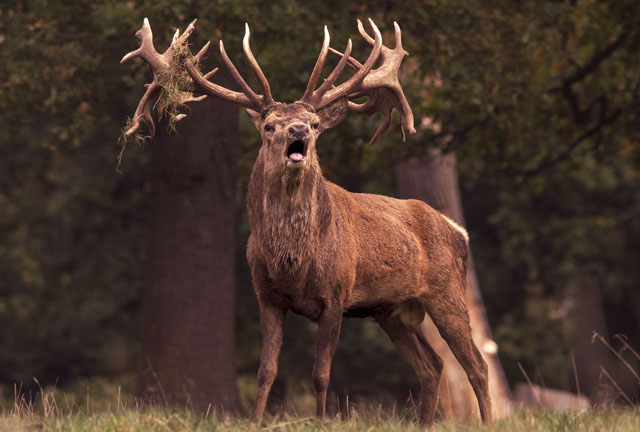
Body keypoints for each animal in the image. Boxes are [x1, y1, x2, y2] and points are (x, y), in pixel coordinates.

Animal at [122, 17, 492, 426]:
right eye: (269, 125)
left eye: (314, 123)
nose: (297, 131)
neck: (292, 262)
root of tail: (458, 230)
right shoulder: (266, 297)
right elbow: (265, 371)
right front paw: (255, 422)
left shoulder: (336, 295)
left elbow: (321, 374)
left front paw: (321, 421)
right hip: (390, 310)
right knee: (432, 365)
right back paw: (425, 423)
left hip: (447, 291)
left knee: (477, 365)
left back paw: (489, 421)